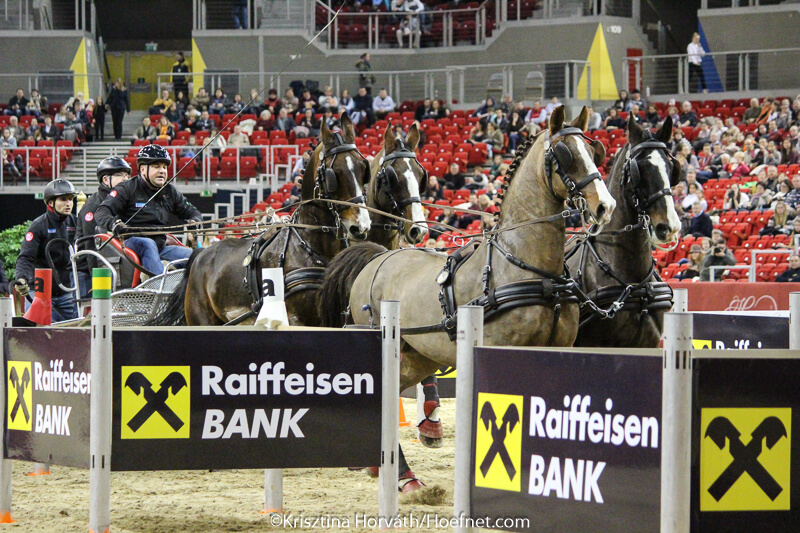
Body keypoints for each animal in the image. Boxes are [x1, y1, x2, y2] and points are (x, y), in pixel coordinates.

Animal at [149, 113, 372, 326]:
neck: (308, 245)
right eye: (334, 174)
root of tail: (200, 255)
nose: (361, 226)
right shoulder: (297, 319)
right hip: (201, 320)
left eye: (363, 169)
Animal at [318, 106, 616, 488]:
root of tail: (376, 258)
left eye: (594, 151)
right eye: (565, 155)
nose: (605, 206)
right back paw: (403, 477)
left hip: (417, 357)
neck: (526, 267)